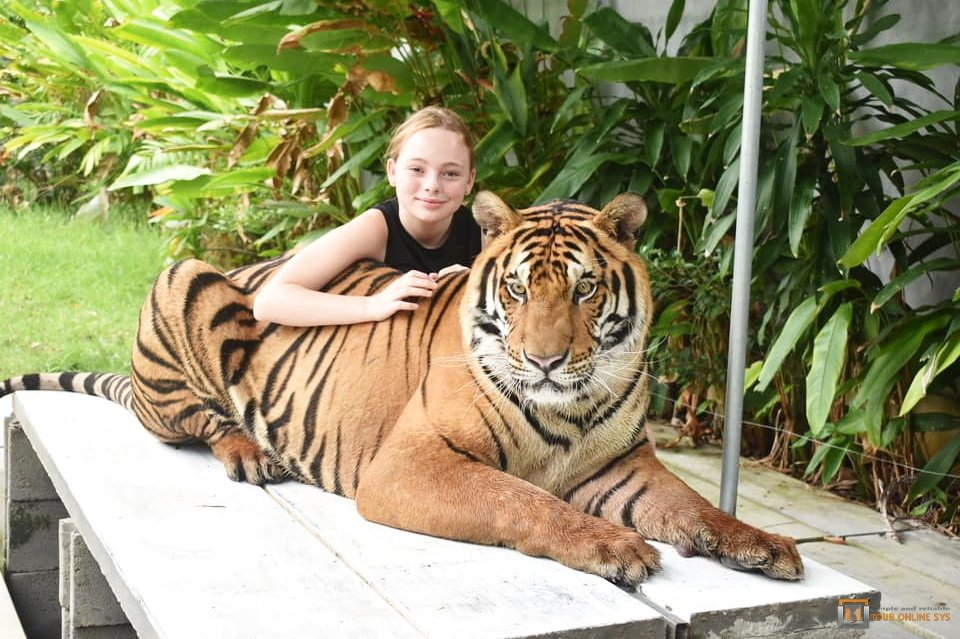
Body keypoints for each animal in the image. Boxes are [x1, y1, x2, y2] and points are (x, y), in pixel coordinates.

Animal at [1, 191, 804, 585]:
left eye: (584, 289)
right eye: (517, 289)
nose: (544, 361)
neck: (569, 407)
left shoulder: (622, 464)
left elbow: (695, 505)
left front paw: (764, 544)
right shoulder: (410, 462)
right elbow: (521, 498)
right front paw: (613, 546)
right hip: (186, 277)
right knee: (191, 419)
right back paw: (250, 453)